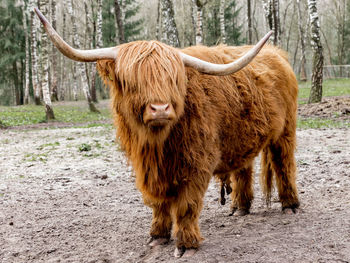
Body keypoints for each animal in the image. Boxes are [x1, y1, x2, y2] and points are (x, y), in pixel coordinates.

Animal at [35, 7, 300, 258]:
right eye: (133, 82)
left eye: (172, 80)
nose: (160, 108)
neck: (158, 143)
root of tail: (278, 55)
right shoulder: (147, 168)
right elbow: (158, 204)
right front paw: (157, 236)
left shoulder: (197, 164)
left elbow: (186, 205)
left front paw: (186, 244)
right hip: (242, 137)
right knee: (243, 167)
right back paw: (240, 208)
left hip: (286, 130)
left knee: (283, 164)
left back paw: (290, 205)